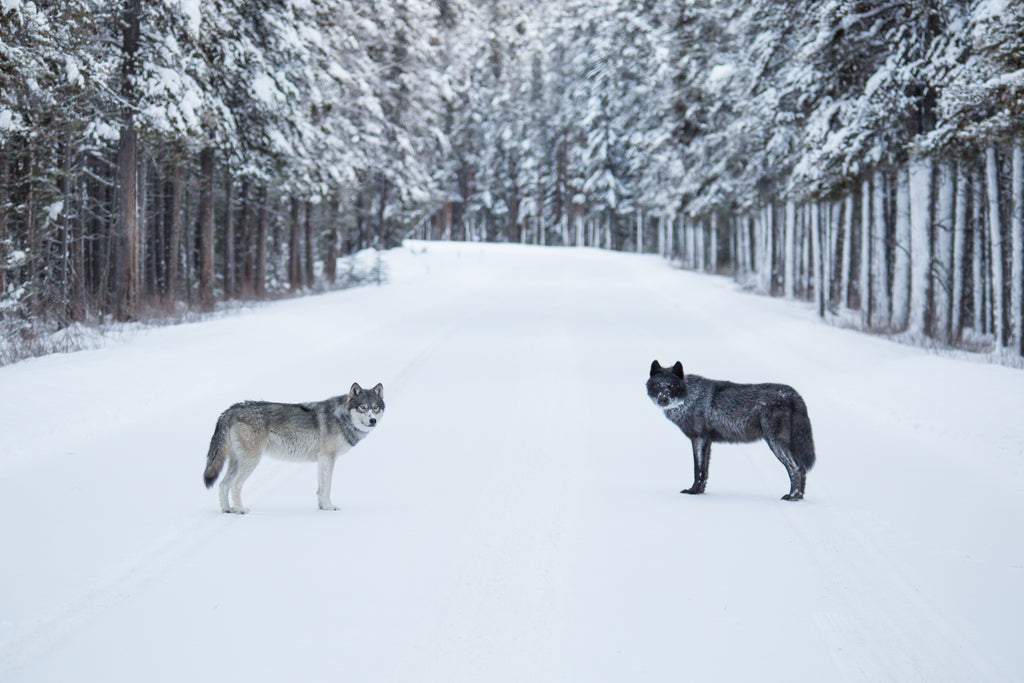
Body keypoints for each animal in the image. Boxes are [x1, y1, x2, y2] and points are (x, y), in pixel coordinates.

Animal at [203, 382, 384, 513]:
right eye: (363, 407)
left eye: (375, 407)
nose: (373, 420)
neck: (341, 417)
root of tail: (229, 410)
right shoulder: (328, 457)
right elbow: (326, 487)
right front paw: (329, 507)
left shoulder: (322, 460)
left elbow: (320, 487)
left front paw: (322, 508)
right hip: (251, 461)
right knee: (235, 486)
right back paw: (241, 510)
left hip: (237, 462)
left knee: (223, 485)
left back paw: (227, 510)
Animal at [646, 361, 815, 500]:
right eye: (657, 385)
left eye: (671, 386)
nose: (663, 399)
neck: (689, 397)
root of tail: (794, 394)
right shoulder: (706, 441)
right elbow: (704, 471)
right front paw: (699, 492)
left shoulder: (698, 438)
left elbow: (697, 469)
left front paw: (692, 492)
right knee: (802, 469)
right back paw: (799, 496)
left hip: (776, 443)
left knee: (795, 468)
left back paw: (792, 496)